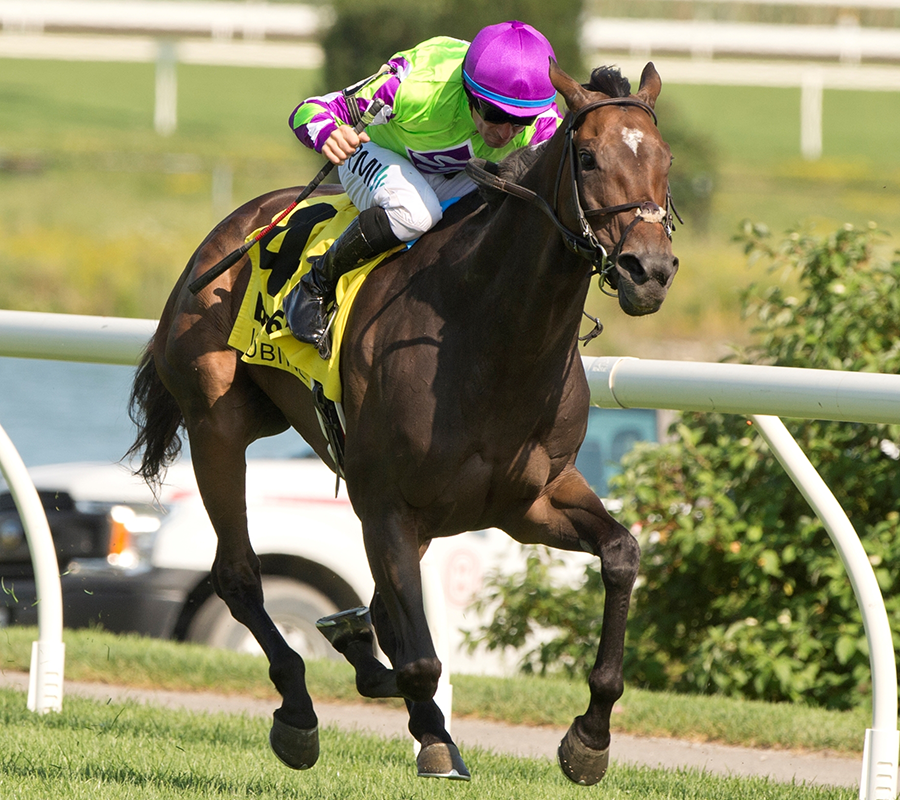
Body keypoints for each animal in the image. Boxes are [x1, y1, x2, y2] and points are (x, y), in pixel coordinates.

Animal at [127, 60, 679, 784]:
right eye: (587, 158)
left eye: (665, 160)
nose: (650, 270)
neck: (489, 339)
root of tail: (235, 227)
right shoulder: (388, 505)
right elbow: (417, 655)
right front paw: (432, 736)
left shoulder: (532, 501)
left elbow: (621, 553)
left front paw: (589, 738)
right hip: (218, 423)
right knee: (238, 575)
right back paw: (299, 711)